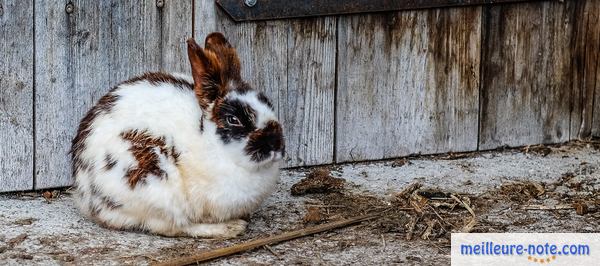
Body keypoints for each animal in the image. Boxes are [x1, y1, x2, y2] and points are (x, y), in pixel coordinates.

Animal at [70, 32, 286, 238]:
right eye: (234, 119)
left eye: (269, 104)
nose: (276, 144)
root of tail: (86, 195)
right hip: (156, 186)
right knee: (174, 227)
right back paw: (230, 228)